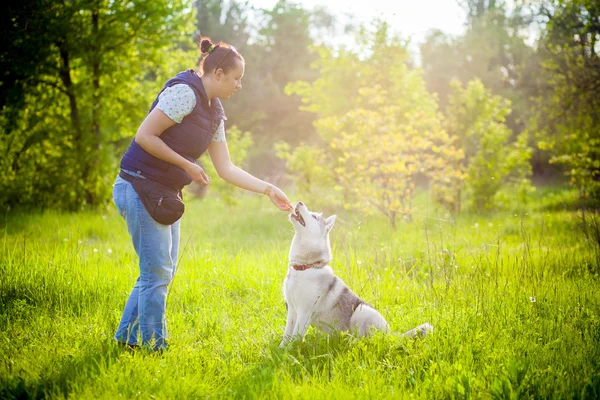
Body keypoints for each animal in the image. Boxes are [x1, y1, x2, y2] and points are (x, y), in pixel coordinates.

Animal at [280, 202, 432, 346]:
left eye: (314, 216)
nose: (299, 202)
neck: (306, 267)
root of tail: (390, 333)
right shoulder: (292, 310)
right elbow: (287, 334)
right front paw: (282, 350)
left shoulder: (305, 312)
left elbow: (295, 336)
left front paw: (291, 350)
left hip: (362, 311)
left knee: (364, 339)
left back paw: (353, 343)